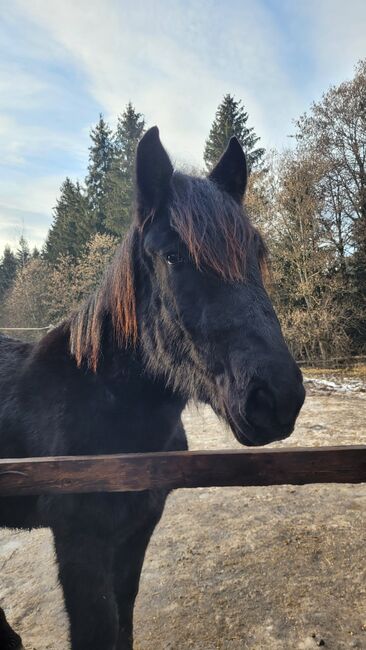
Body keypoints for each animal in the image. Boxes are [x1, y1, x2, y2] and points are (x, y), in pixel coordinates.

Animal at [0, 128, 304, 648]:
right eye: (173, 256)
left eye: (256, 253)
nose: (278, 397)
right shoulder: (79, 548)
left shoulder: (137, 533)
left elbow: (124, 620)